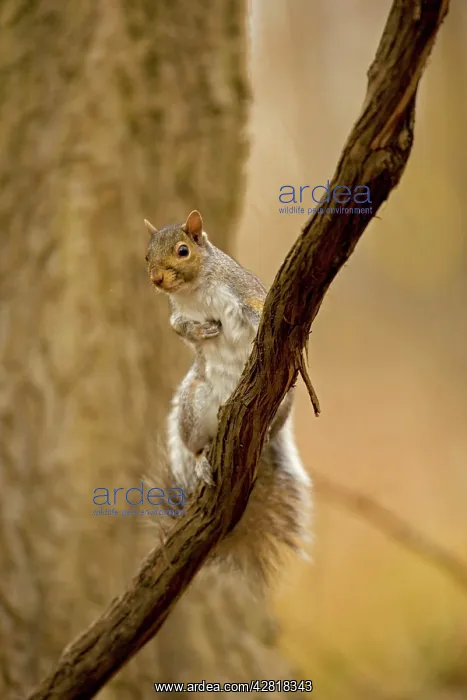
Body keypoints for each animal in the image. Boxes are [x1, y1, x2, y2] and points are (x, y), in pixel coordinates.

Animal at [145, 210, 311, 584]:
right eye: (146, 256)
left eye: (183, 251)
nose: (157, 279)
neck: (193, 290)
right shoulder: (177, 313)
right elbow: (179, 327)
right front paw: (202, 330)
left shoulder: (244, 291)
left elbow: (258, 309)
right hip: (194, 407)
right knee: (194, 446)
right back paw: (202, 461)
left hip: (280, 408)